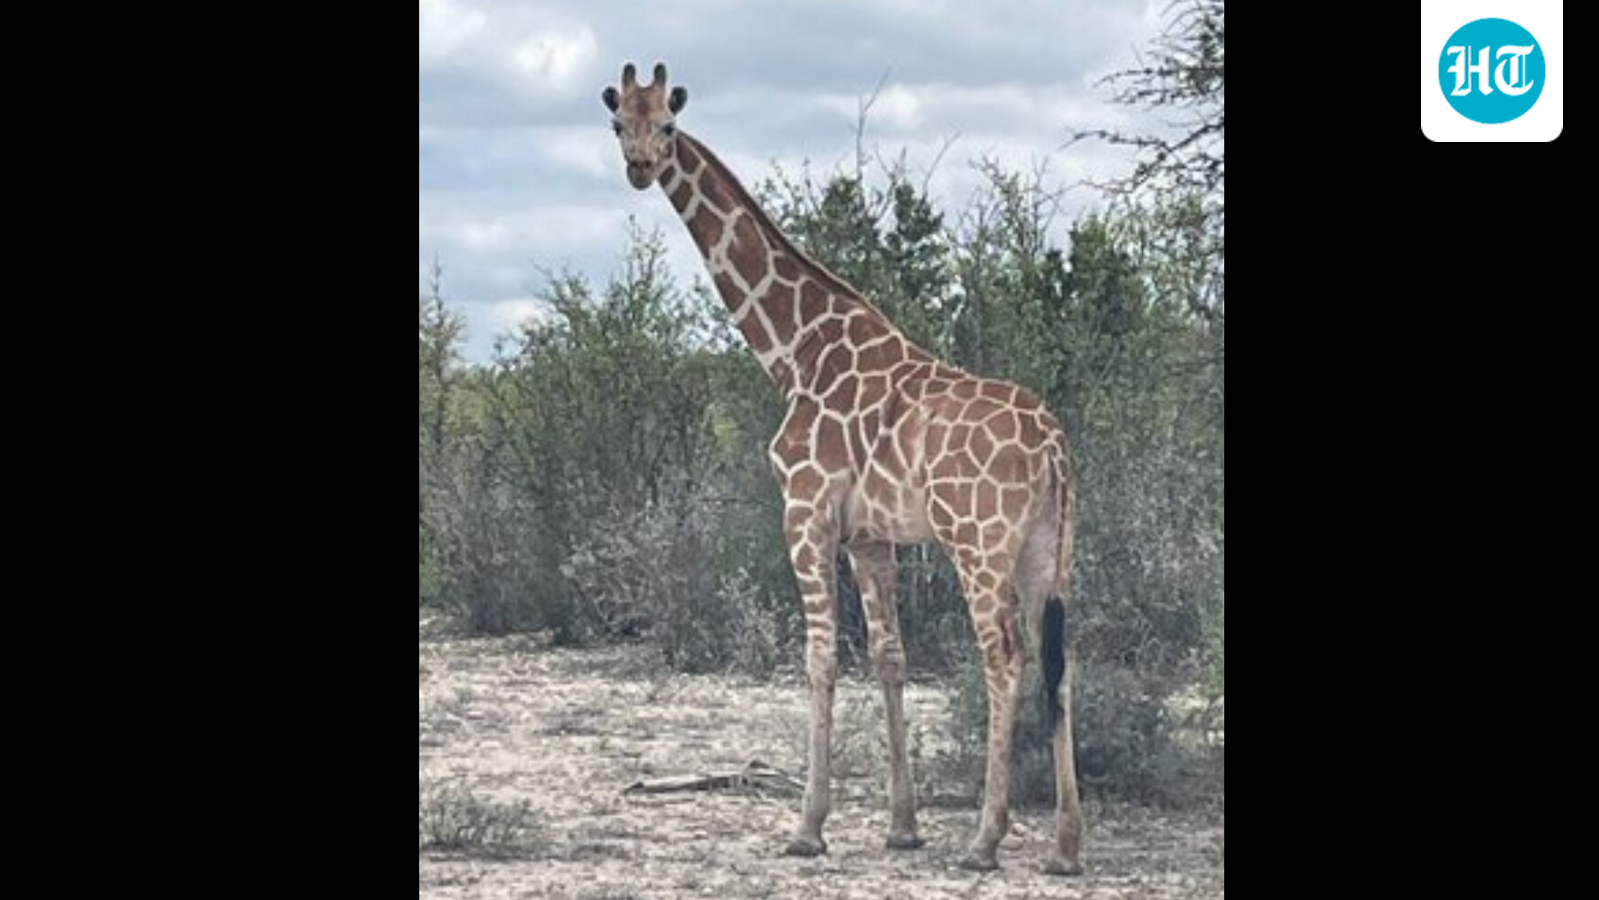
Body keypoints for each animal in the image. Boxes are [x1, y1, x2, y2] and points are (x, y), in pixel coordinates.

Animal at [601, 62, 1084, 875]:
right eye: (617, 124)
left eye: (666, 123)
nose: (639, 167)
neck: (793, 351)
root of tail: (1052, 444)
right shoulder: (870, 535)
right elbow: (889, 657)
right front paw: (902, 825)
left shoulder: (804, 511)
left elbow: (820, 657)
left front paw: (807, 826)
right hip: (1049, 548)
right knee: (1061, 658)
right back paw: (1065, 847)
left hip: (978, 542)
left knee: (1005, 659)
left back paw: (985, 840)